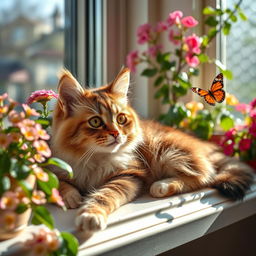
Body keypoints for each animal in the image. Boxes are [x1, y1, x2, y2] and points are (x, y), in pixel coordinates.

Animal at [51, 67, 253, 233]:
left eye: (121, 119)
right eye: (95, 121)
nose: (116, 134)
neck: (95, 158)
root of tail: (206, 145)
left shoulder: (129, 175)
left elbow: (104, 195)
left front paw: (91, 215)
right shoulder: (57, 164)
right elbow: (59, 182)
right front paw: (70, 196)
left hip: (168, 151)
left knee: (205, 176)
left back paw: (161, 186)